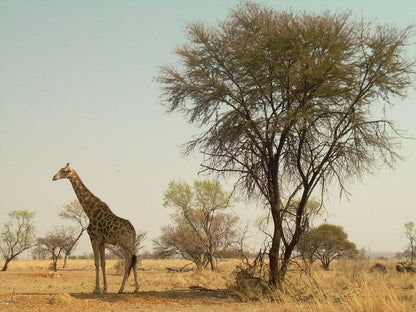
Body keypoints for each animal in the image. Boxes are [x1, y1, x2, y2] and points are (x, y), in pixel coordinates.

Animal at [52, 162, 138, 294]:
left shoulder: (94, 238)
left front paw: (96, 289)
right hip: (130, 244)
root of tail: (133, 230)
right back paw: (135, 288)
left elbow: (96, 262)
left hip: (125, 244)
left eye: (64, 171)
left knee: (129, 262)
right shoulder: (102, 241)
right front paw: (104, 288)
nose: (54, 177)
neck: (90, 211)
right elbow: (103, 263)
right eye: (60, 169)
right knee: (134, 261)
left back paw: (122, 288)